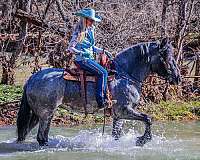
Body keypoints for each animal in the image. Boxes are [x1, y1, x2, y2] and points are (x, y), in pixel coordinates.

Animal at [16, 37, 181, 146]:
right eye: (166, 56)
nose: (177, 78)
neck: (125, 75)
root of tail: (31, 79)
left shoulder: (119, 115)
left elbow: (117, 134)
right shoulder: (124, 110)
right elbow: (148, 118)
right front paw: (142, 140)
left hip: (40, 114)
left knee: (28, 134)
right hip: (45, 113)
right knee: (41, 137)